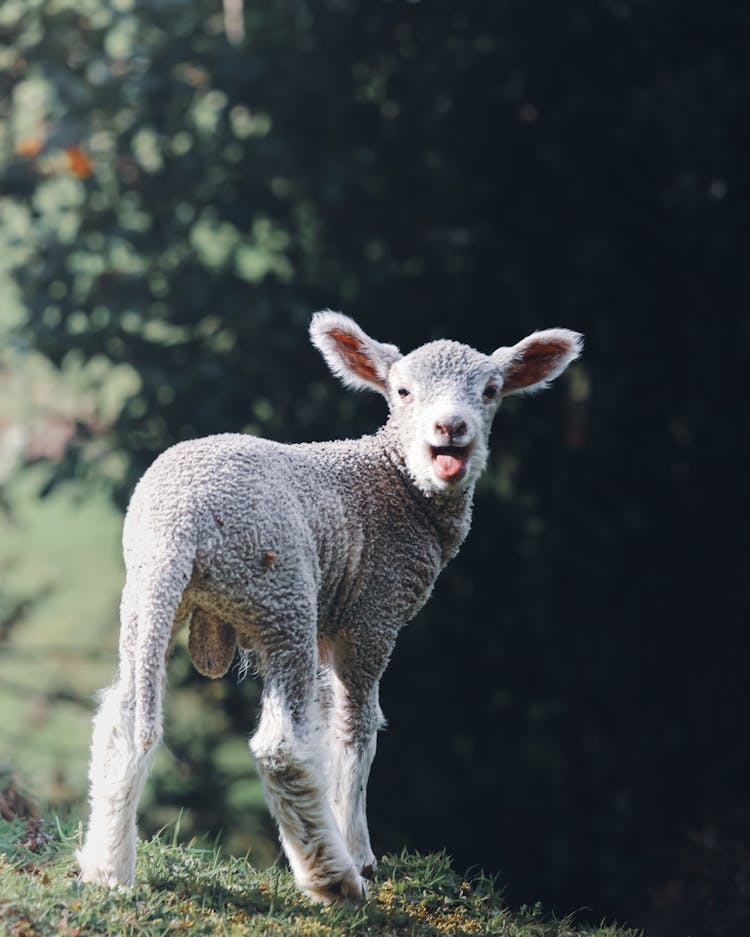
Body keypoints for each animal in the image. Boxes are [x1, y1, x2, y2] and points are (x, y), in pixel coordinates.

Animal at [75, 312, 580, 900]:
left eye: (491, 391)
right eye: (402, 391)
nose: (451, 428)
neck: (396, 480)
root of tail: (180, 524)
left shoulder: (330, 617)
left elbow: (328, 716)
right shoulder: (373, 611)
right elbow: (356, 730)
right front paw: (360, 851)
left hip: (147, 596)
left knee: (123, 719)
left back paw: (108, 870)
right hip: (280, 590)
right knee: (282, 749)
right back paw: (332, 877)